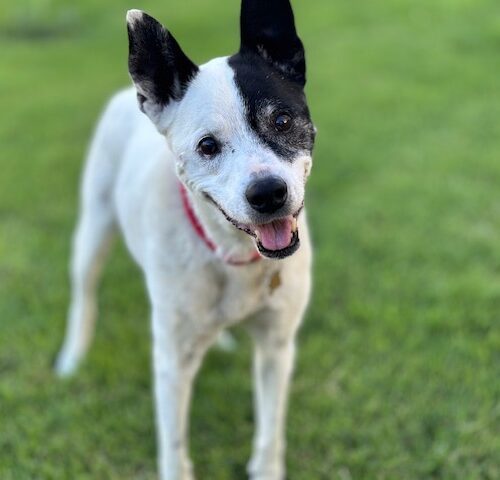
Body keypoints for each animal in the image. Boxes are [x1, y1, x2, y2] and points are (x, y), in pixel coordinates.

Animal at [55, 1, 316, 478]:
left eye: (282, 120)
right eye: (208, 146)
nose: (268, 194)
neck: (233, 253)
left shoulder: (277, 346)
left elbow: (270, 430)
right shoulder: (171, 364)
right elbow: (174, 446)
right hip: (93, 230)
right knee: (84, 294)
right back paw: (72, 357)